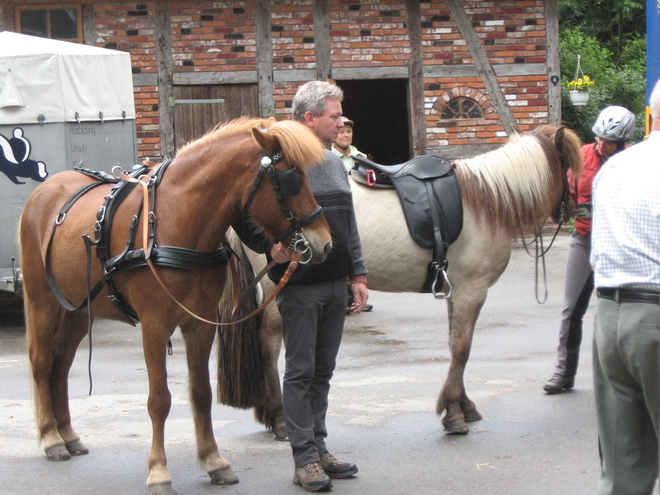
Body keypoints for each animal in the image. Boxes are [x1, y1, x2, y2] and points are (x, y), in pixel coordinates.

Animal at [18, 117, 332, 495]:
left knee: (61, 362)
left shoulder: (201, 325)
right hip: (43, 300)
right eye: (292, 178)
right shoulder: (154, 327)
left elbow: (201, 393)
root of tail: (44, 190)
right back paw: (51, 438)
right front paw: (159, 472)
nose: (325, 244)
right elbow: (159, 400)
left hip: (78, 310)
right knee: (41, 360)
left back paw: (68, 434)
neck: (176, 222)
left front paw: (214, 461)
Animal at [218, 124, 584, 438]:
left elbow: (455, 345)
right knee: (269, 344)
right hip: (276, 291)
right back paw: (280, 418)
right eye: (569, 167)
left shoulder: (456, 291)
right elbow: (462, 349)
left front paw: (464, 404)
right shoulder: (472, 290)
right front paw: (453, 412)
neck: (486, 200)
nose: (575, 211)